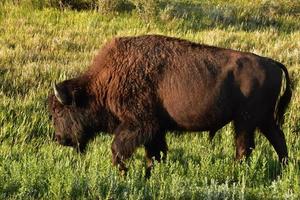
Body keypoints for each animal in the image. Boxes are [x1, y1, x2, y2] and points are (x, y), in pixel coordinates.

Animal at [48, 34, 292, 177]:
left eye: (59, 112)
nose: (60, 139)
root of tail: (273, 63)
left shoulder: (139, 125)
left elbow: (118, 148)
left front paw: (124, 175)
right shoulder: (155, 130)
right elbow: (155, 154)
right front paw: (149, 177)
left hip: (245, 121)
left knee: (245, 148)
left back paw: (236, 176)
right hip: (263, 119)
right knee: (277, 140)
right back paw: (283, 170)